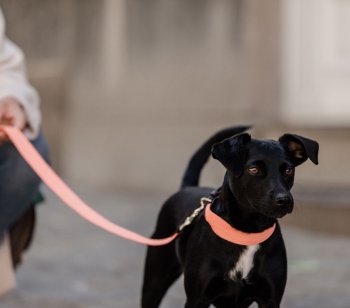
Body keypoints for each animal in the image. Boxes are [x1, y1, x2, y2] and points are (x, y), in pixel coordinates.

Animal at [141, 125, 318, 308]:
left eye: (289, 170)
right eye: (254, 169)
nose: (284, 200)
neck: (248, 232)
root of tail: (187, 188)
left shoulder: (270, 299)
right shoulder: (197, 299)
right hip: (154, 282)